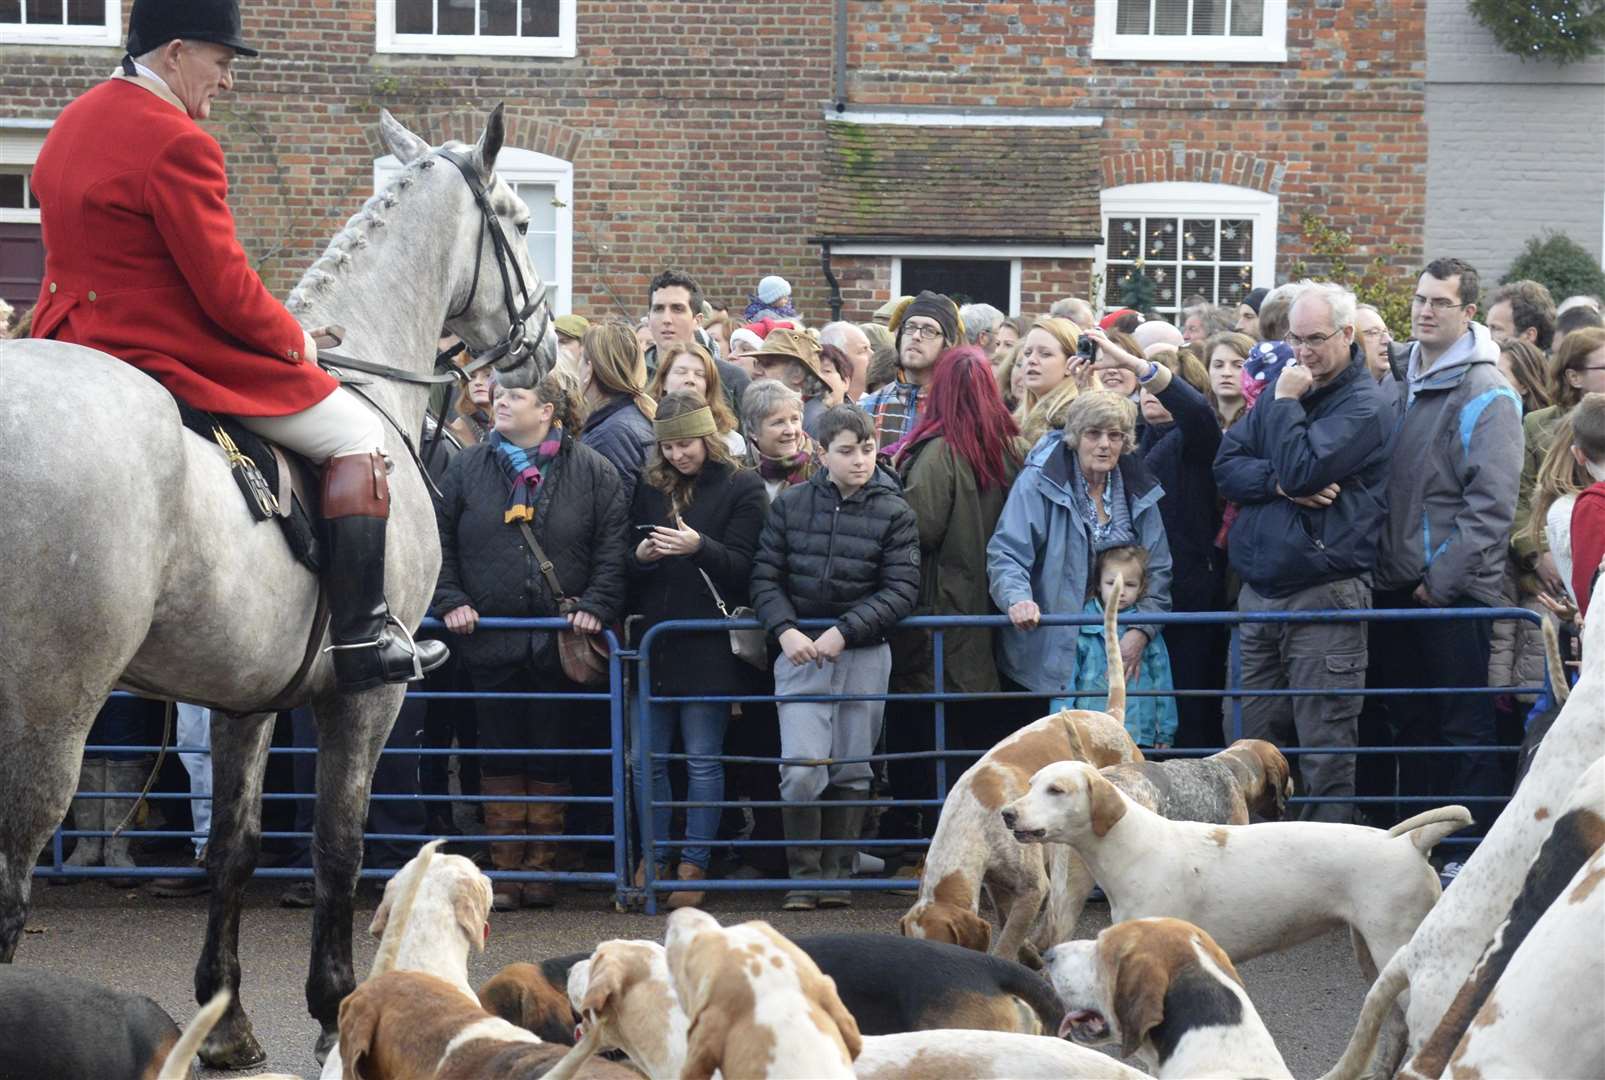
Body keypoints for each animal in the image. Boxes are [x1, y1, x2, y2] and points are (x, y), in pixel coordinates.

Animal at [0, 105, 555, 1065]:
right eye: (520, 222)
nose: (547, 348)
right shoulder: (365, 695)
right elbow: (337, 843)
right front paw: (336, 1007)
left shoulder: (246, 691)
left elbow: (234, 846)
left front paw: (227, 1021)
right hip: (49, 705)